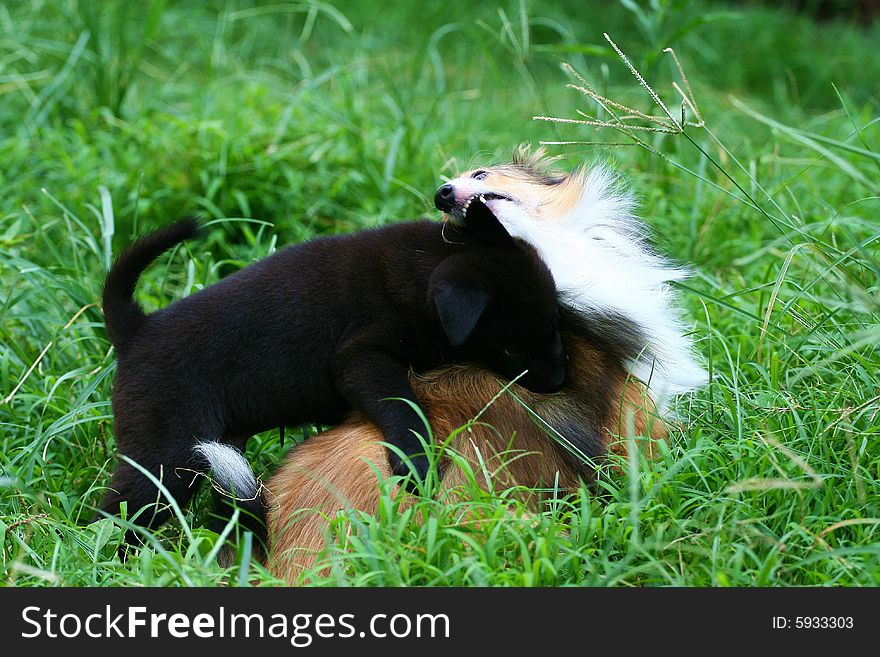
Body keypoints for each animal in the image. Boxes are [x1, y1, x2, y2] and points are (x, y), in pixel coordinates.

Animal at [99, 202, 568, 536]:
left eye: (554, 322)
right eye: (510, 349)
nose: (561, 380)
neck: (418, 274)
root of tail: (138, 331)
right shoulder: (361, 359)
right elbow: (403, 405)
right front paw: (415, 462)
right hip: (167, 456)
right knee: (117, 510)